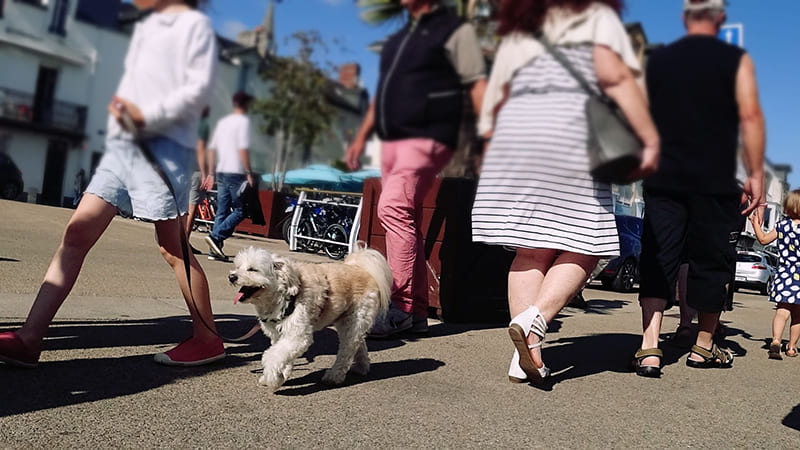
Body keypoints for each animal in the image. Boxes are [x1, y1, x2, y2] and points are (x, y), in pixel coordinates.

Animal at [228, 246, 390, 390]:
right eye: (238, 266)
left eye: (252, 269)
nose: (232, 277)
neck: (284, 296)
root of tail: (363, 270)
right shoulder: (278, 335)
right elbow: (282, 355)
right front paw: (281, 376)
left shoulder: (298, 335)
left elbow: (273, 356)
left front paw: (272, 378)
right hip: (348, 321)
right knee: (359, 343)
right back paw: (362, 367)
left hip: (355, 319)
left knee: (347, 350)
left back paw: (334, 376)